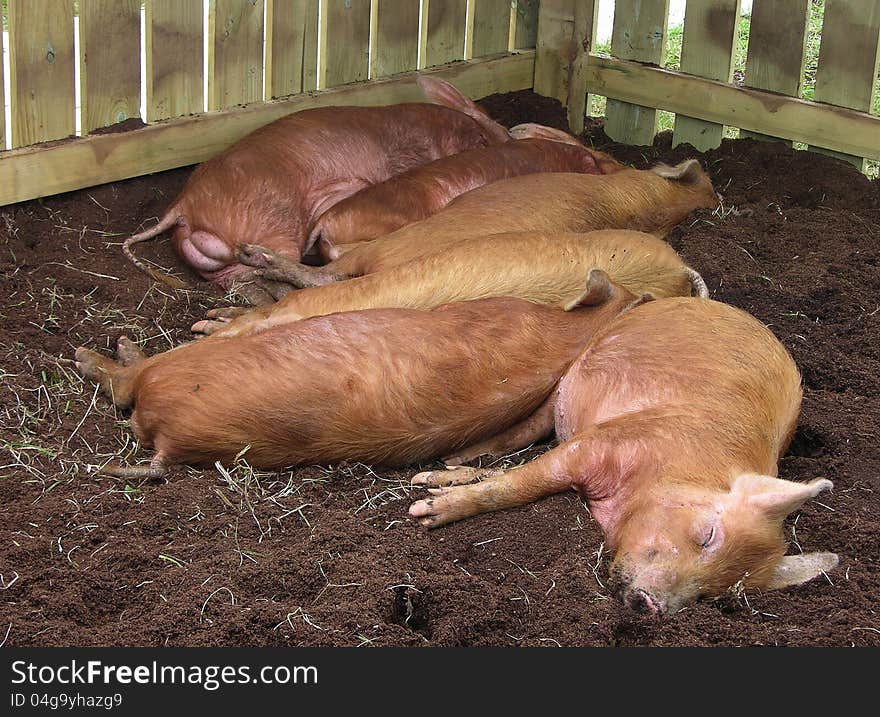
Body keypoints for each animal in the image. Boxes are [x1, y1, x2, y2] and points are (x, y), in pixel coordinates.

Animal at [412, 296, 840, 616]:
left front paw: (427, 499)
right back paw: (444, 465)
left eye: (712, 594)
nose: (650, 604)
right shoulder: (600, 444)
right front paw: (423, 513)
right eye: (707, 535)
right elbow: (517, 486)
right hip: (571, 377)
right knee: (526, 431)